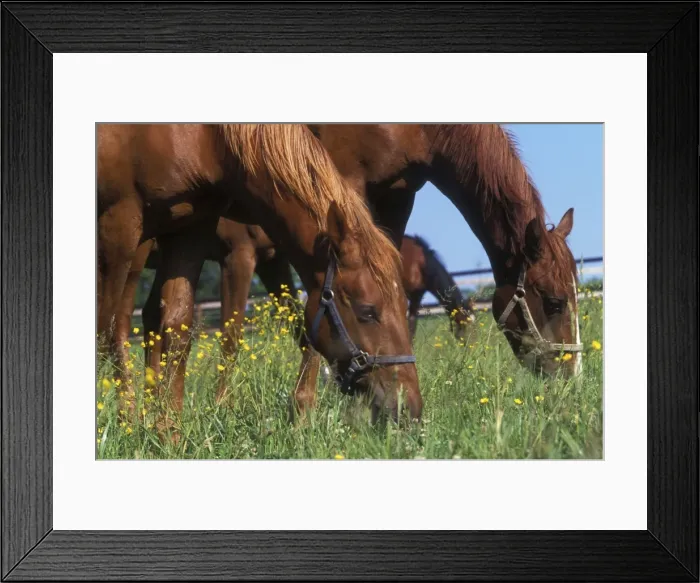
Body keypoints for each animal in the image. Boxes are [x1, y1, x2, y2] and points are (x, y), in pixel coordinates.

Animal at [97, 124, 422, 424]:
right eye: (367, 311)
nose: (411, 409)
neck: (200, 137)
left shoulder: (194, 229)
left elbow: (177, 328)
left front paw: (167, 433)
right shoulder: (120, 222)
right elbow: (105, 329)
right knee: (118, 325)